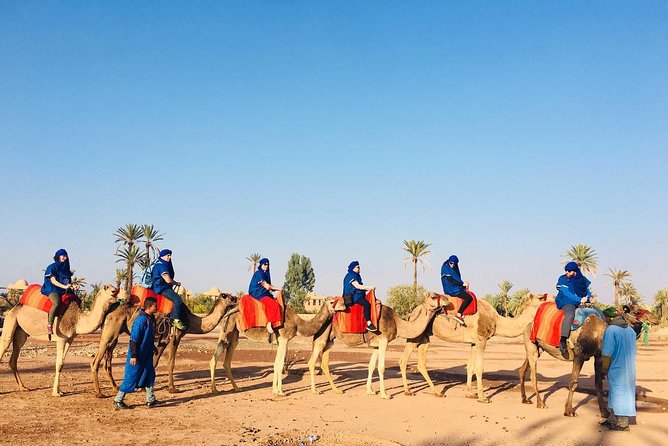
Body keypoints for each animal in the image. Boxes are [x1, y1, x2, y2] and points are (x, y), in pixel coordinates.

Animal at [90, 294, 237, 396]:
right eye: (227, 296)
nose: (236, 298)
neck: (193, 320)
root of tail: (108, 309)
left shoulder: (163, 340)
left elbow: (154, 362)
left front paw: (142, 387)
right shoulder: (175, 337)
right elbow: (171, 362)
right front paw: (172, 388)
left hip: (114, 334)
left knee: (107, 361)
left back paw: (115, 388)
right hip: (110, 331)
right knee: (96, 360)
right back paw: (99, 393)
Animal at [306, 292, 440, 400]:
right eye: (434, 297)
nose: (444, 302)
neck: (397, 323)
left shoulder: (376, 345)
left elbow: (371, 366)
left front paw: (370, 391)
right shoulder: (383, 340)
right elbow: (381, 367)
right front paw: (385, 395)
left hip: (330, 339)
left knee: (324, 362)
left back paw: (336, 390)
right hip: (322, 336)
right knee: (312, 361)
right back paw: (314, 391)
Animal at [400, 292, 552, 400]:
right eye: (541, 297)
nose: (553, 298)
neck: (497, 320)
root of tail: (412, 313)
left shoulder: (474, 343)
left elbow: (470, 367)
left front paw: (470, 394)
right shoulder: (482, 340)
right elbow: (479, 368)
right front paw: (482, 397)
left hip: (425, 337)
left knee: (421, 363)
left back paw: (437, 393)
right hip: (416, 335)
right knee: (403, 360)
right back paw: (407, 391)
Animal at [516, 304, 656, 416]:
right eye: (637, 311)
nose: (655, 318)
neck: (599, 333)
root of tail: (527, 325)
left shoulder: (598, 356)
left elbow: (599, 384)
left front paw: (604, 412)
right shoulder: (580, 355)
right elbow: (573, 382)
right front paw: (569, 411)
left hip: (537, 348)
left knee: (522, 370)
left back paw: (525, 399)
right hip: (531, 345)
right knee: (533, 375)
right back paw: (540, 403)